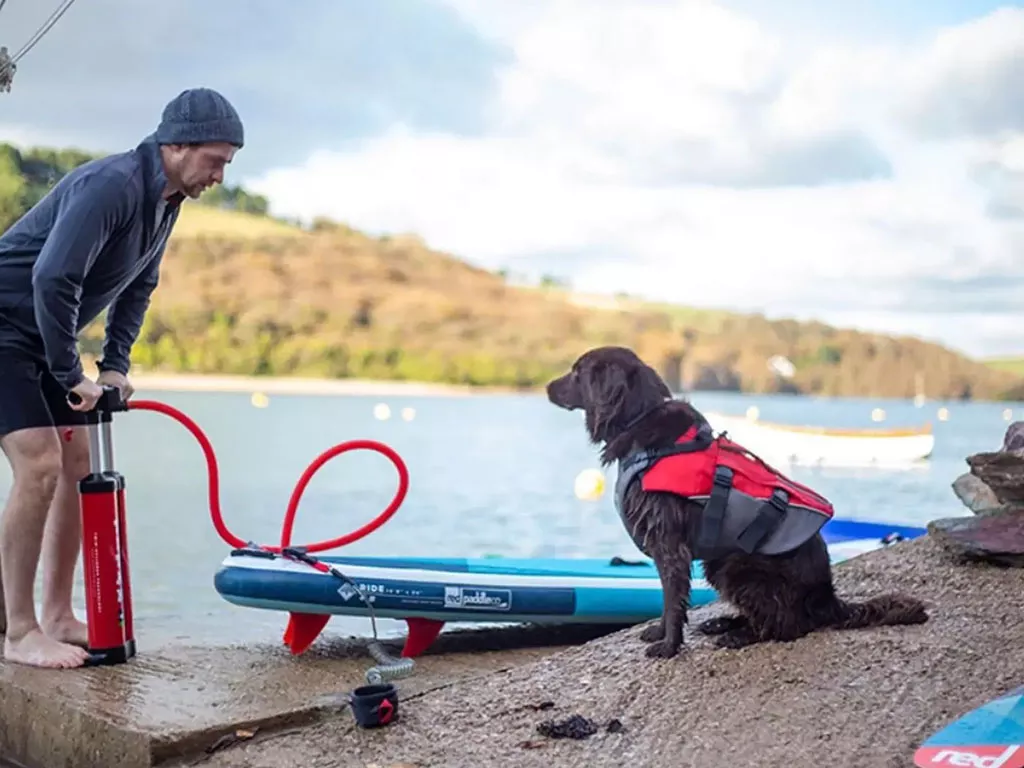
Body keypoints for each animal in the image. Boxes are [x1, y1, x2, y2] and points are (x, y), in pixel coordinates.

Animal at [548, 348, 933, 663]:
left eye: (577, 372)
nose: (548, 387)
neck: (643, 422)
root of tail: (828, 598)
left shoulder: (669, 544)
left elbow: (672, 600)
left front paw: (668, 646)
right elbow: (668, 601)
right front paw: (660, 633)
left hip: (734, 566)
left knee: (789, 625)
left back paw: (739, 636)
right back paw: (723, 623)